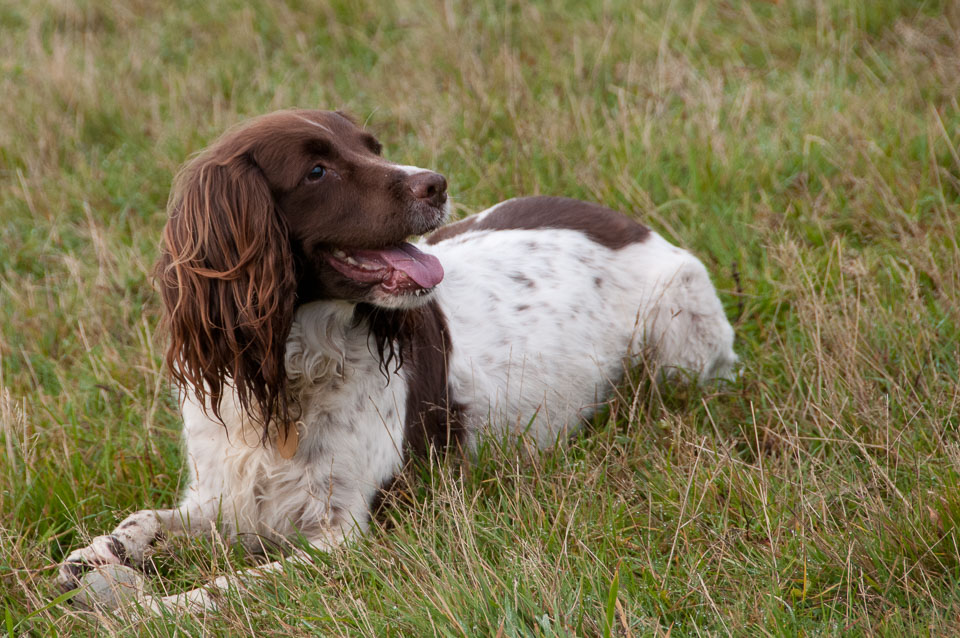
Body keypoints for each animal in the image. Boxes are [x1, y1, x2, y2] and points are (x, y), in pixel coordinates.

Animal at [56, 110, 740, 616]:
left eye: (373, 147)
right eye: (317, 169)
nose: (434, 183)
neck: (292, 376)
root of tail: (629, 223)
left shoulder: (348, 532)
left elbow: (229, 587)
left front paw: (154, 607)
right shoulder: (229, 495)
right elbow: (147, 519)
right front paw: (96, 553)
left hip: (678, 327)